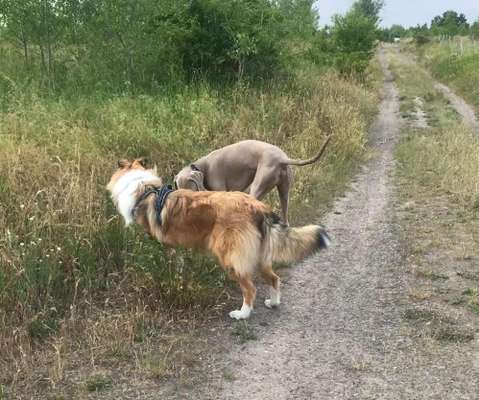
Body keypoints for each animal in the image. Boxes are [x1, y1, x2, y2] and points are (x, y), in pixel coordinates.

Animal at [107, 159, 330, 318]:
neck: (144, 188)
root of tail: (257, 207)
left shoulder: (166, 243)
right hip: (259, 255)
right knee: (274, 279)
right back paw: (273, 303)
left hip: (231, 257)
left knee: (250, 288)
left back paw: (242, 314)